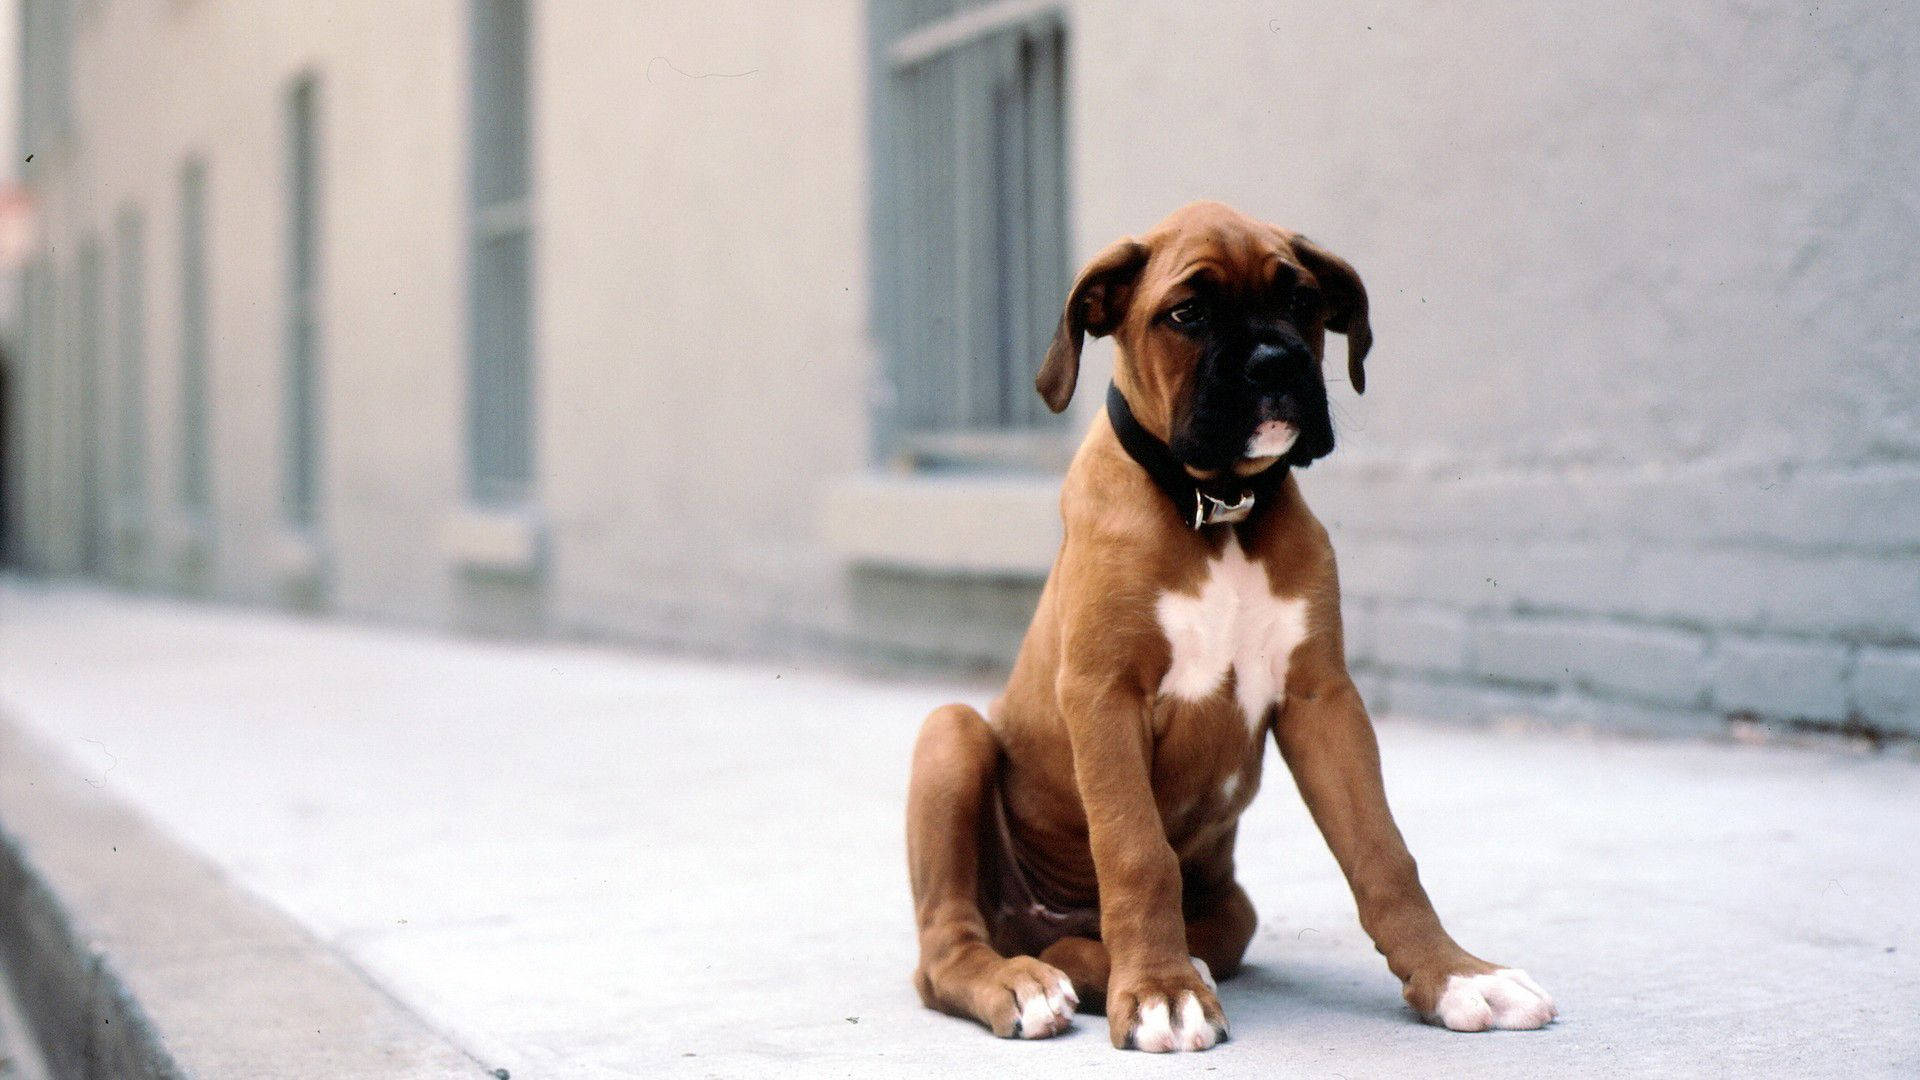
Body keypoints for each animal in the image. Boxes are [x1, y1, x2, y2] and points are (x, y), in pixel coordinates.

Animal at [906, 197, 1551, 1045]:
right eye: (1187, 314)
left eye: (1302, 301)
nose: (1275, 363)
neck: (1219, 510)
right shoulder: (1102, 694)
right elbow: (1136, 850)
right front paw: (1160, 992)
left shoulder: (1322, 700)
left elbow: (1383, 852)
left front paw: (1457, 976)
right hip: (950, 736)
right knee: (945, 950)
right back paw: (1026, 985)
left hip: (1230, 904)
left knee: (1135, 937)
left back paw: (1105, 962)